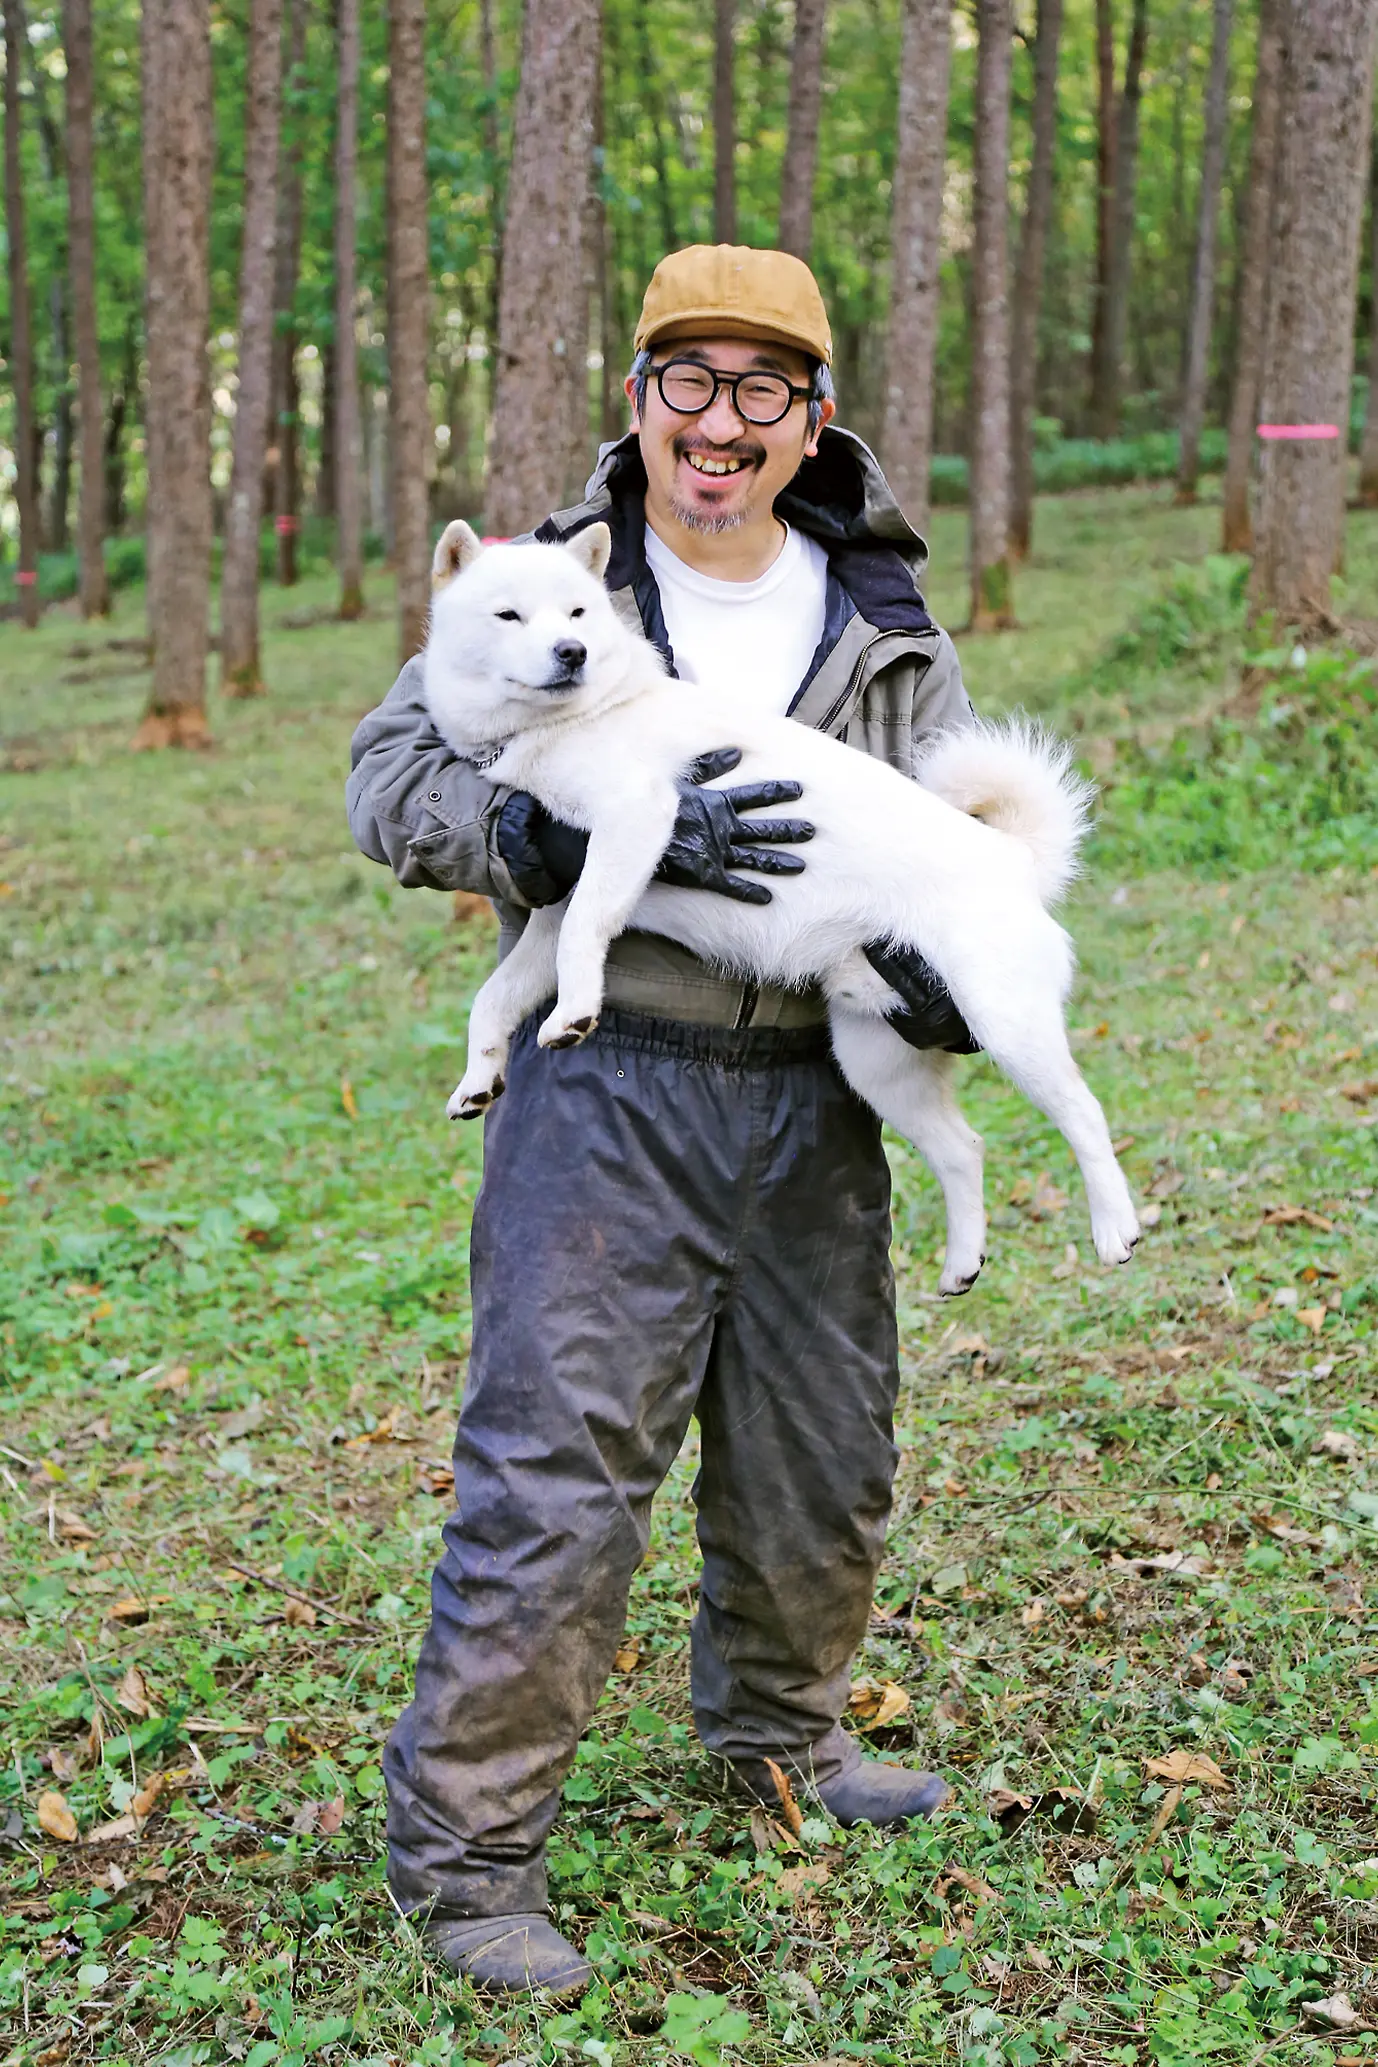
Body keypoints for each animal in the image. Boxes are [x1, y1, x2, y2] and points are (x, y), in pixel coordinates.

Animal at [425, 516, 1140, 1289]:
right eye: (509, 615)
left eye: (578, 613)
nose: (572, 652)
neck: (579, 718)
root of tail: (1013, 858)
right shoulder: (560, 892)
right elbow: (496, 996)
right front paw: (478, 1075)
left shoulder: (636, 822)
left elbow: (585, 930)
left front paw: (575, 1013)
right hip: (879, 1060)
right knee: (964, 1148)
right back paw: (962, 1260)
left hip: (1006, 1027)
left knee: (1087, 1114)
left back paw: (1115, 1227)